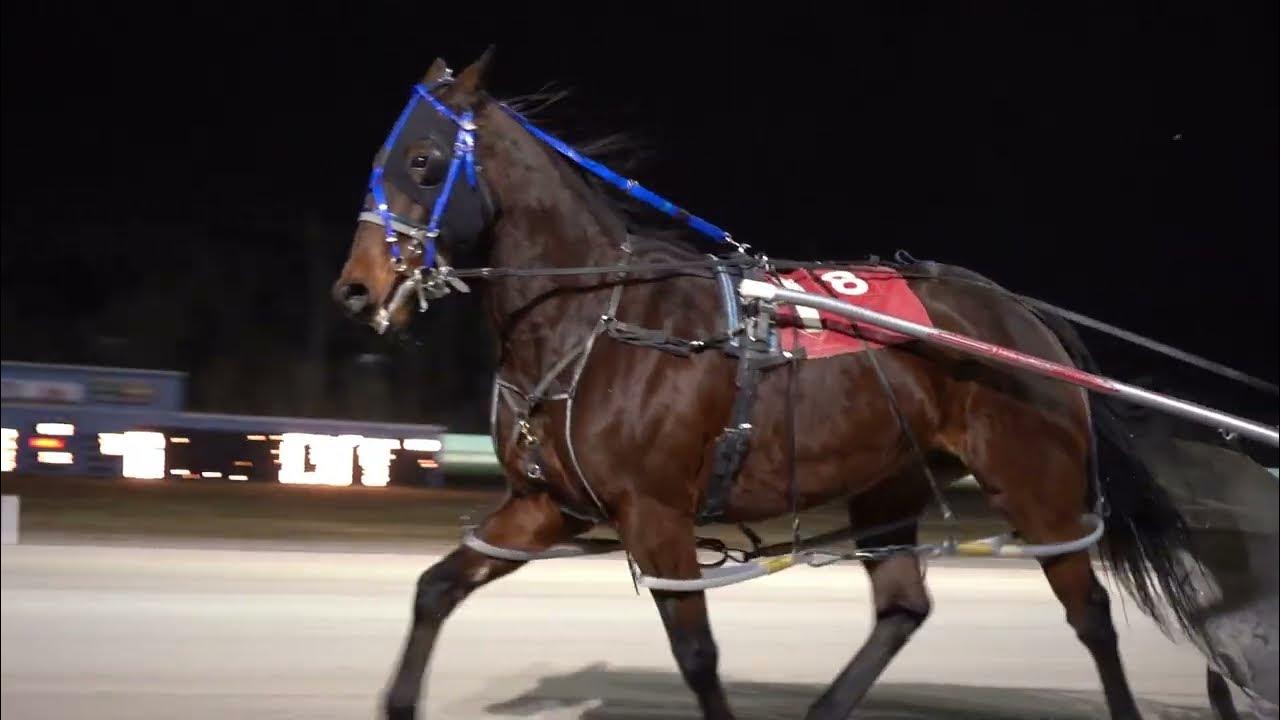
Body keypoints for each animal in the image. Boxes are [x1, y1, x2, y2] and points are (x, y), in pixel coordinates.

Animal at [333, 49, 1208, 720]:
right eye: (379, 161)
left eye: (422, 162)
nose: (355, 288)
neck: (601, 321)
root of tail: (1022, 317)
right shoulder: (545, 505)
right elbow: (435, 588)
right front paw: (400, 700)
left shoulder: (656, 515)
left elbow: (696, 653)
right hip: (888, 483)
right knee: (904, 605)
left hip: (1036, 485)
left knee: (1090, 615)